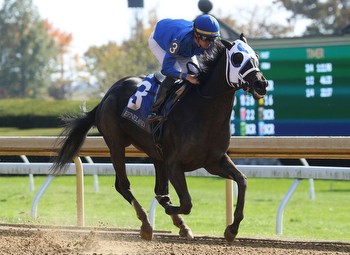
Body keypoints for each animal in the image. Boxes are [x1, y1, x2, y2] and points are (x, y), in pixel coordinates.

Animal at [52, 33, 268, 241]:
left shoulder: (214, 161)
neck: (203, 111)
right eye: (237, 58)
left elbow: (242, 180)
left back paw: (179, 224)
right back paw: (147, 225)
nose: (261, 83)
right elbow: (186, 202)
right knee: (123, 185)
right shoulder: (174, 164)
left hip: (156, 154)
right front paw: (171, 210)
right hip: (116, 144)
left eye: (256, 56)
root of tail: (106, 96)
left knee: (158, 190)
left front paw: (232, 229)